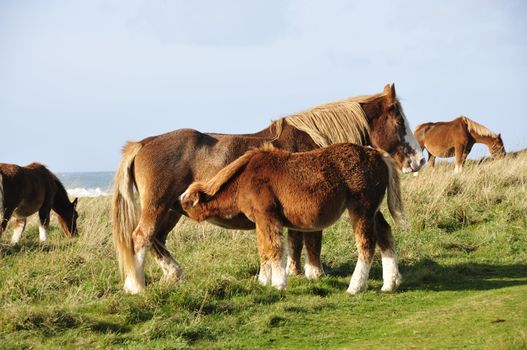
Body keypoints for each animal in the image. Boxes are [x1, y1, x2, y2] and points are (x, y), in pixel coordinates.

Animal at [180, 144, 404, 294]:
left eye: (188, 202)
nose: (177, 204)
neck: (245, 179)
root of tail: (377, 154)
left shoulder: (268, 217)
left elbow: (274, 249)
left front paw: (279, 284)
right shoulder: (260, 221)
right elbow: (263, 250)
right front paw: (264, 281)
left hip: (361, 209)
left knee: (367, 244)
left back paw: (355, 287)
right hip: (373, 211)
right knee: (385, 235)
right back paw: (389, 284)